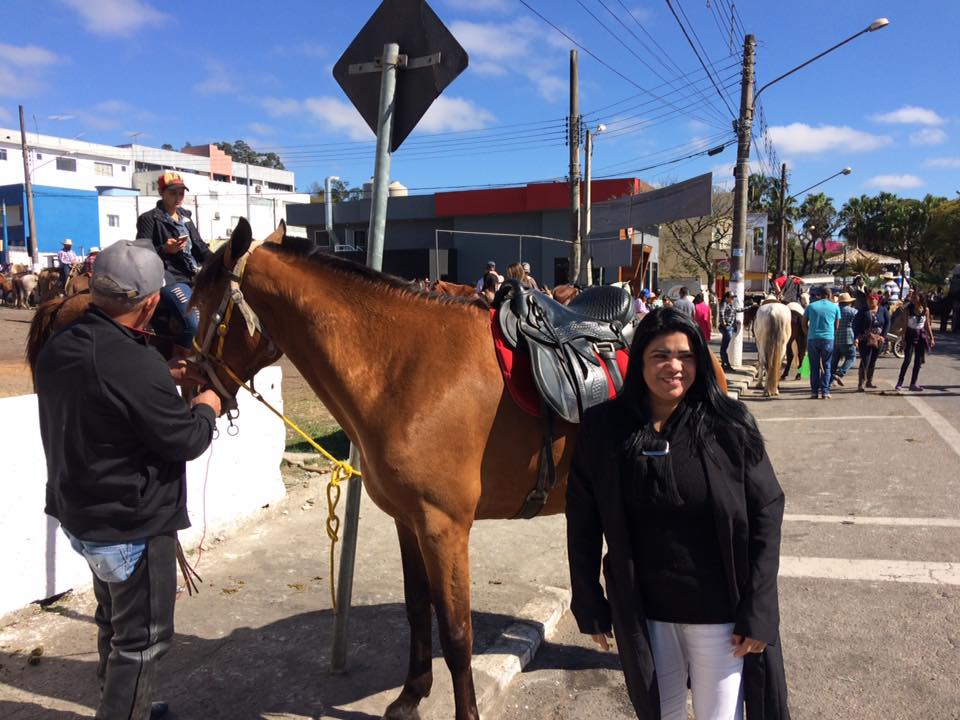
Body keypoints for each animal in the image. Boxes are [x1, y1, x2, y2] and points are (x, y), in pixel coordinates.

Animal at [187, 220, 724, 720]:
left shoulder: (444, 528)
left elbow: (457, 631)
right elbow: (417, 609)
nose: (193, 383)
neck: (402, 367)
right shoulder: (409, 523)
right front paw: (412, 693)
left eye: (195, 302)